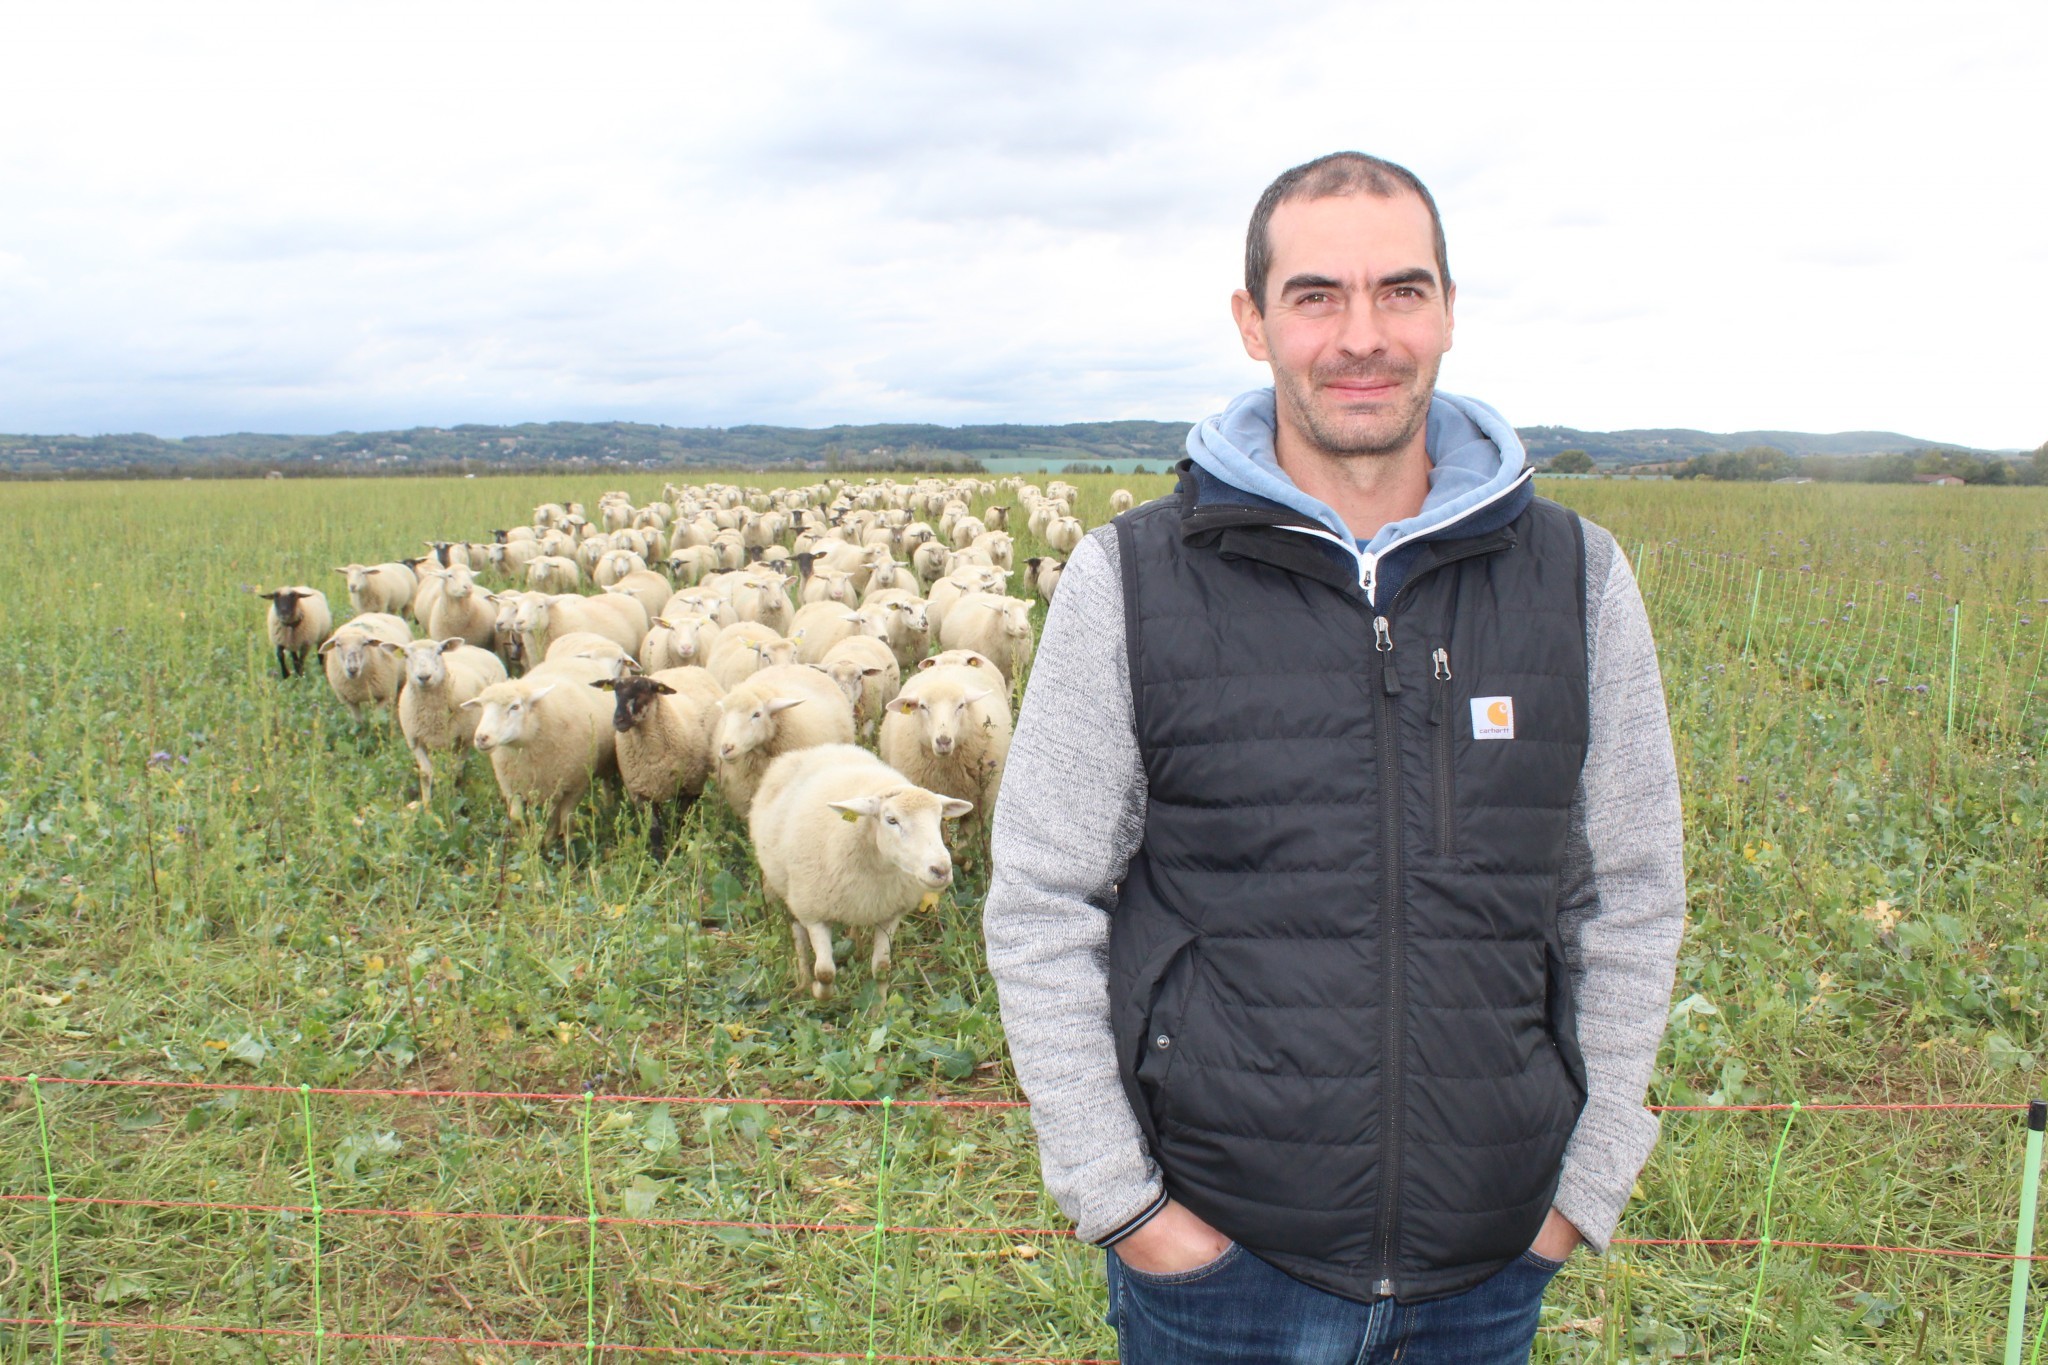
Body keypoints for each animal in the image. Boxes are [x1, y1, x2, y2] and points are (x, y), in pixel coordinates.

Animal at [387, 638, 507, 806]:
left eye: (439, 651)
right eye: (405, 655)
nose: (424, 677)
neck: (432, 716)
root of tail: (473, 647)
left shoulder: (463, 740)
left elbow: (454, 771)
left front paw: (453, 795)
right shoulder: (415, 741)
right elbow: (425, 773)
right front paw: (427, 805)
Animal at [464, 654, 614, 847]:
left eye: (515, 706)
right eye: (483, 708)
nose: (481, 738)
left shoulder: (576, 785)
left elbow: (567, 821)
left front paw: (566, 851)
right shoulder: (512, 786)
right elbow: (517, 818)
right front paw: (528, 844)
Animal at [753, 749, 974, 1002]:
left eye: (939, 819)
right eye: (891, 820)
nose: (941, 870)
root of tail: (812, 750)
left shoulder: (889, 913)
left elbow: (882, 969)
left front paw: (879, 1007)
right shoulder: (814, 912)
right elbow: (826, 971)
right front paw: (820, 991)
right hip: (788, 891)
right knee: (798, 934)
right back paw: (804, 981)